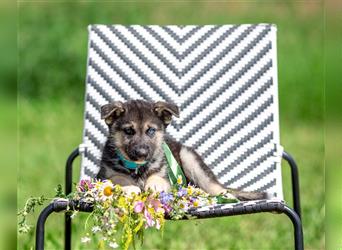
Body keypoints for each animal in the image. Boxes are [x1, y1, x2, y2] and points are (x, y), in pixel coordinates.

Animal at [97, 99, 268, 201]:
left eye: (150, 131)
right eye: (128, 131)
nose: (141, 153)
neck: (138, 168)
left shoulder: (165, 175)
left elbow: (157, 178)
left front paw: (154, 185)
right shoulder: (103, 176)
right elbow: (117, 178)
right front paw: (129, 186)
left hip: (189, 159)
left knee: (219, 189)